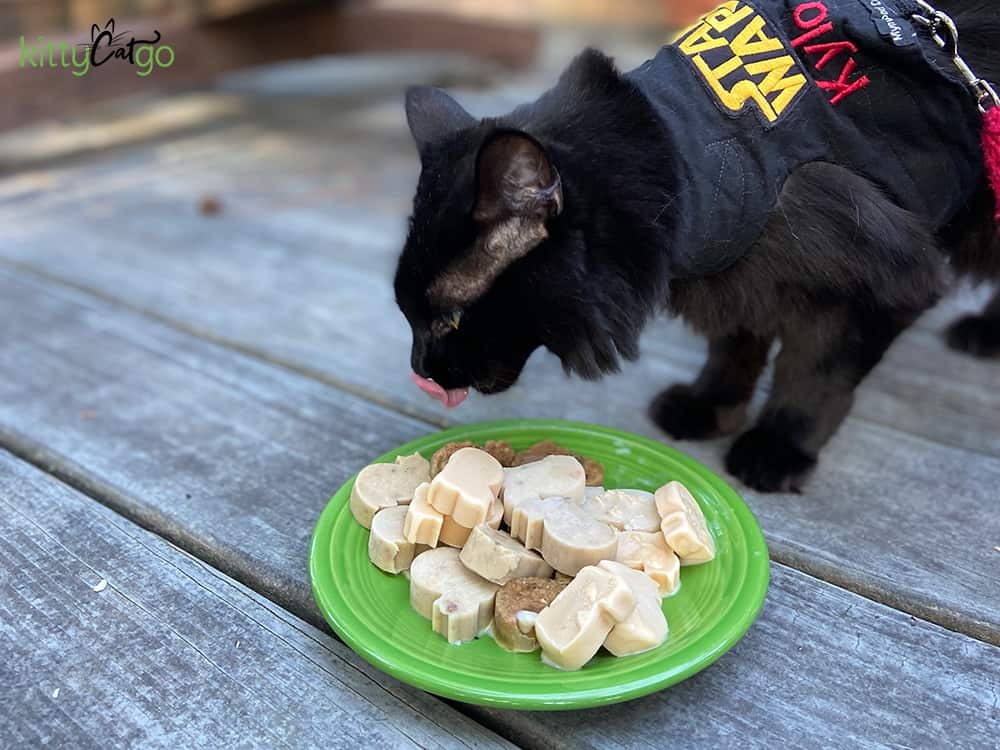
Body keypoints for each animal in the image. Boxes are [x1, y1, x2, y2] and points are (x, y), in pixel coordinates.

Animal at [392, 0, 1000, 496]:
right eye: (409, 315)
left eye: (449, 318)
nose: (419, 369)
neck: (677, 161)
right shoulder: (737, 261)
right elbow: (736, 345)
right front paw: (709, 407)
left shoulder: (885, 280)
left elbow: (816, 377)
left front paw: (777, 448)